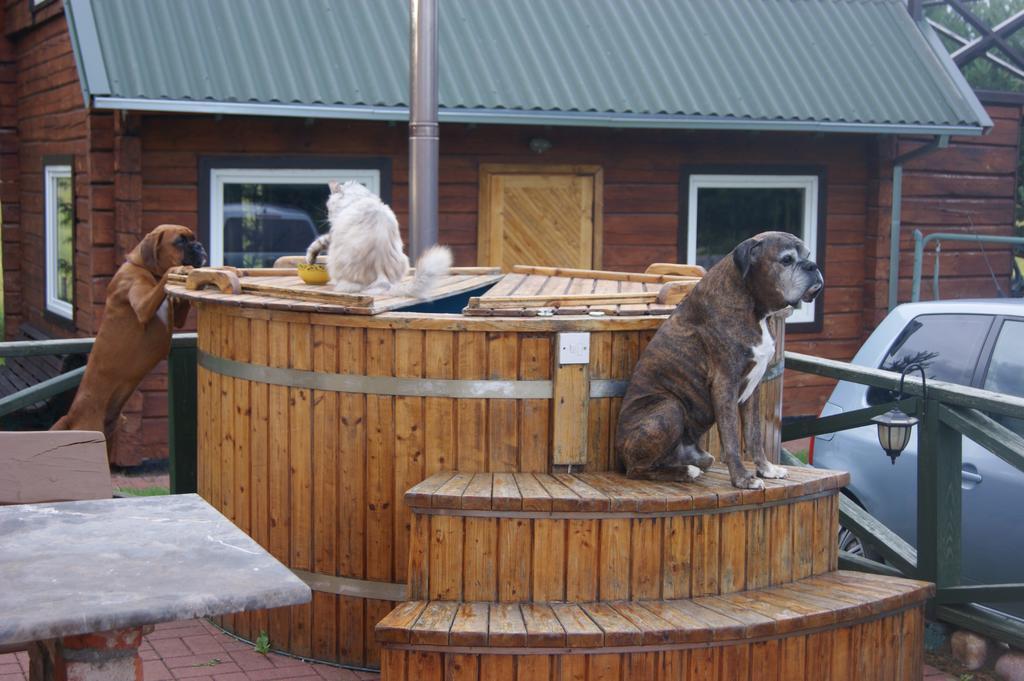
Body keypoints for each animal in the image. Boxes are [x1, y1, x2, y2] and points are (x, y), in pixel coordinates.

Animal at [51, 223, 207, 446]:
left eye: (193, 239)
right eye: (180, 241)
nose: (199, 246)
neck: (144, 268)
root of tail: (71, 416)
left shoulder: (176, 315)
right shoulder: (143, 307)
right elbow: (165, 278)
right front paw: (177, 270)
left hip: (112, 436)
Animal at [307, 180, 452, 296]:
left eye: (329, 207)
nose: (328, 216)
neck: (357, 199)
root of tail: (382, 275)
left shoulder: (333, 234)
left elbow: (317, 243)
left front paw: (310, 259)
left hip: (335, 260)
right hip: (404, 260)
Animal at [614, 233, 823, 489]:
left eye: (808, 255)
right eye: (786, 260)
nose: (813, 267)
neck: (755, 307)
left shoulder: (753, 389)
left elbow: (754, 434)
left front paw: (766, 469)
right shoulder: (725, 384)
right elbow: (731, 437)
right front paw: (743, 479)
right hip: (669, 407)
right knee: (638, 470)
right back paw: (686, 472)